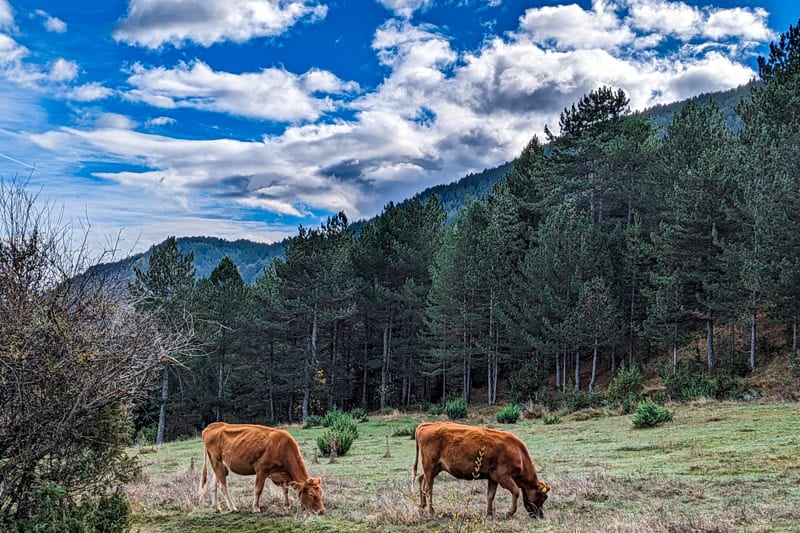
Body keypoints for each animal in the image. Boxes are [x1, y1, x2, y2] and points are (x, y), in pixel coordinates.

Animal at [412, 420, 552, 516]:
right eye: (542, 497)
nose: (541, 515)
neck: (517, 450)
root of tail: (425, 425)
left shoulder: (493, 478)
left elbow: (490, 495)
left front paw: (489, 513)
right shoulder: (503, 476)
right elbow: (515, 491)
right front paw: (510, 512)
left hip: (433, 469)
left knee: (421, 479)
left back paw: (422, 507)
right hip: (430, 467)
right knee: (428, 488)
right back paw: (431, 510)